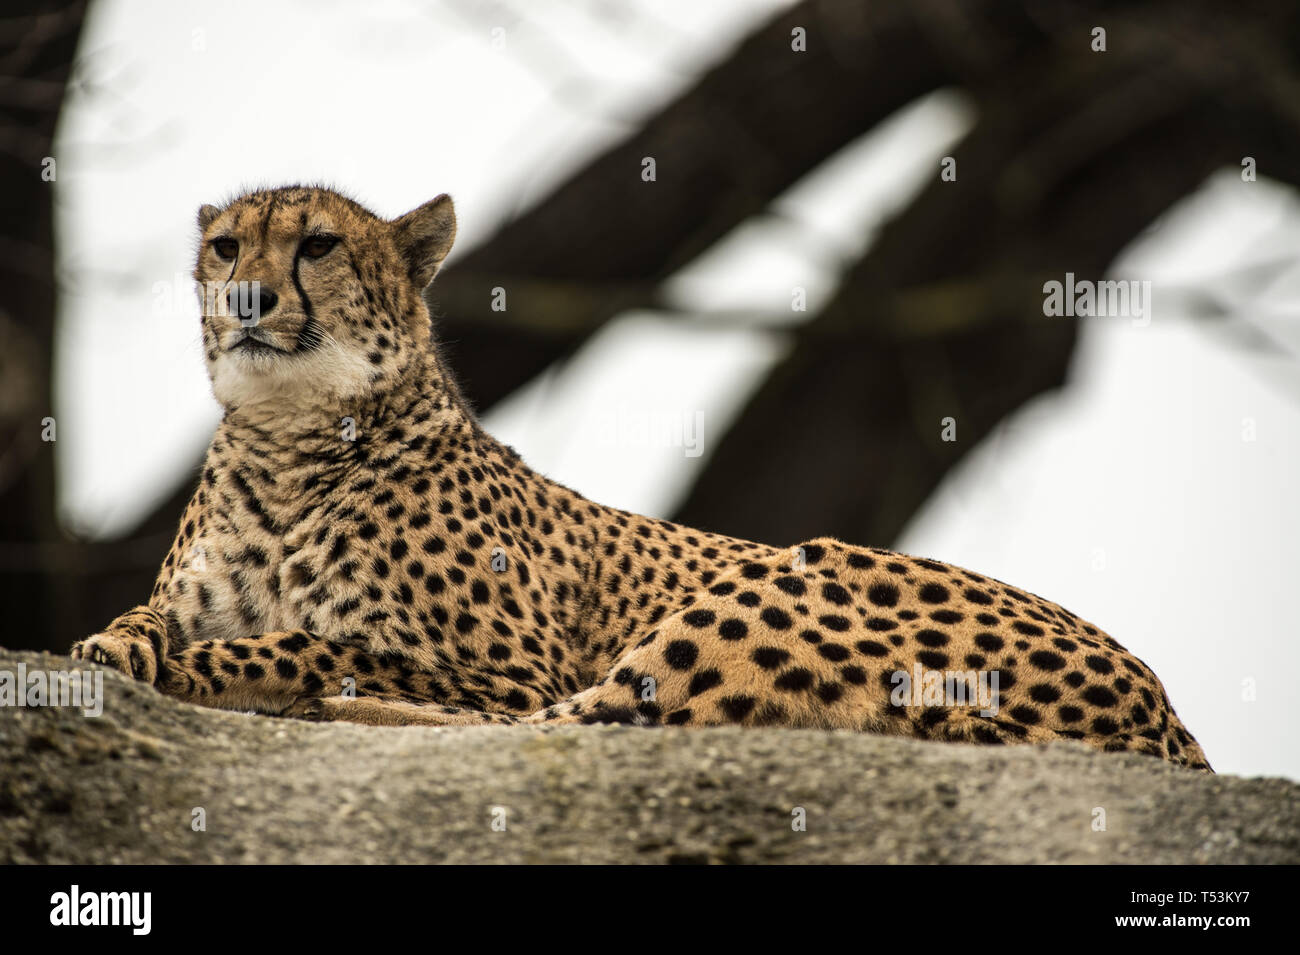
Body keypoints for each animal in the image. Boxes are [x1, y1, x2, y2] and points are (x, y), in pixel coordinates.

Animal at [71, 184, 1206, 769]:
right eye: (225, 246)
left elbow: (315, 643)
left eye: (315, 245)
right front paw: (109, 646)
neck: (291, 438)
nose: (247, 297)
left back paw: (335, 717)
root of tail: (1163, 711)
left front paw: (224, 673)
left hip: (786, 579)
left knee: (565, 725)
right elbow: (146, 621)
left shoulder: (505, 667)